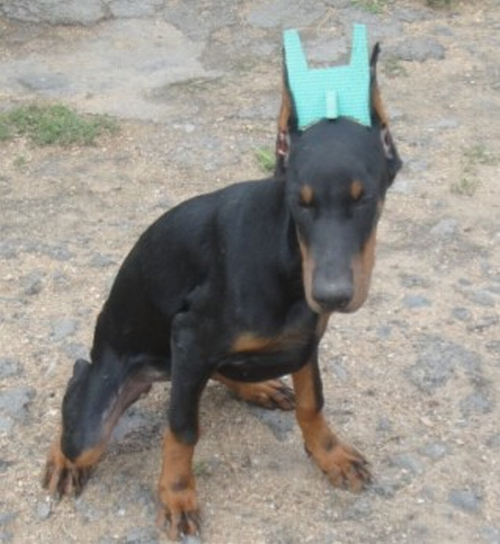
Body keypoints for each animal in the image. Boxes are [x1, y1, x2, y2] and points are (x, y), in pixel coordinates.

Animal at [43, 43, 401, 540]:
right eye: (300, 203)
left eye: (362, 198)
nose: (331, 295)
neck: (287, 257)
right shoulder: (190, 334)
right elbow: (182, 429)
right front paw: (177, 495)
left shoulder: (306, 338)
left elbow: (312, 401)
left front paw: (330, 454)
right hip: (99, 412)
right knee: (78, 409)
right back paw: (63, 461)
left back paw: (258, 387)